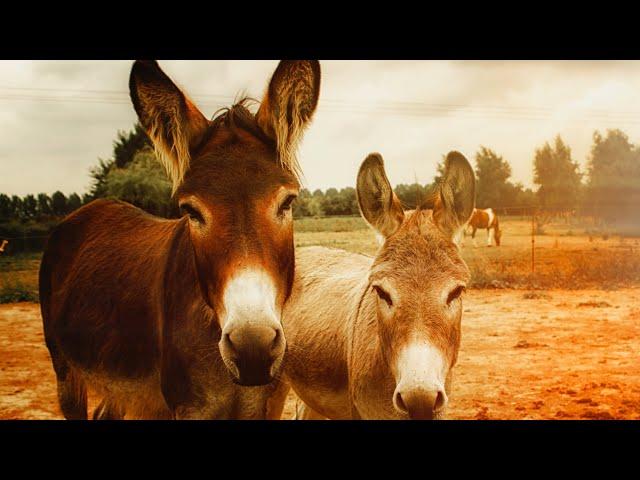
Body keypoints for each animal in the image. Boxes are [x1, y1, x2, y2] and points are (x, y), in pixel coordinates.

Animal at [40, 59, 320, 420]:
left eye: (287, 202)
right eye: (190, 211)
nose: (252, 349)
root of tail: (90, 209)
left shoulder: (267, 404)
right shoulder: (186, 406)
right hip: (65, 370)